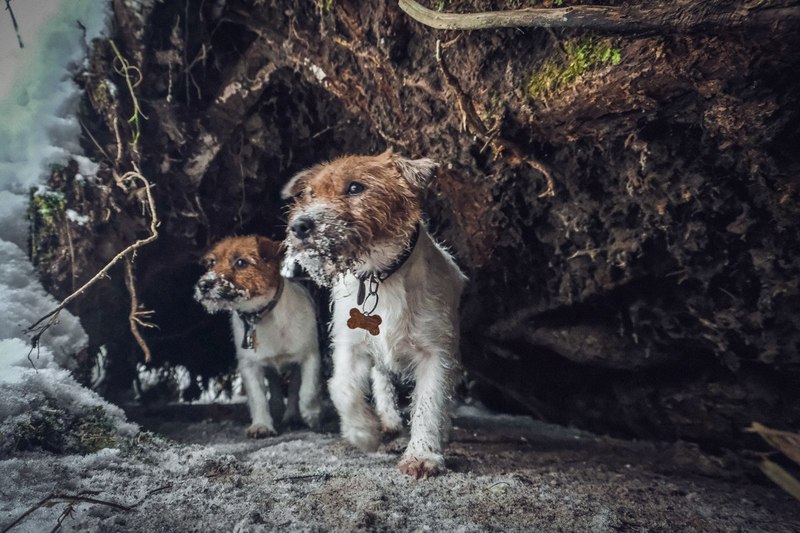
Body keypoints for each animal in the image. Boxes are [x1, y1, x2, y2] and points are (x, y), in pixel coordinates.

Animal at [194, 236, 318, 436]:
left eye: (241, 262)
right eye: (211, 263)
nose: (203, 285)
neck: (261, 315)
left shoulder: (310, 356)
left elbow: (308, 390)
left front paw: (311, 415)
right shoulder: (250, 365)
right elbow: (258, 397)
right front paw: (262, 425)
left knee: (294, 389)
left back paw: (293, 416)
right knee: (275, 388)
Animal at [282, 150, 466, 478]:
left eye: (355, 188)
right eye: (310, 194)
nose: (299, 226)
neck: (380, 276)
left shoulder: (436, 353)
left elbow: (430, 404)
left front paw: (422, 456)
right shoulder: (349, 346)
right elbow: (342, 388)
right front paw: (364, 432)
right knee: (381, 380)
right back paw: (387, 421)